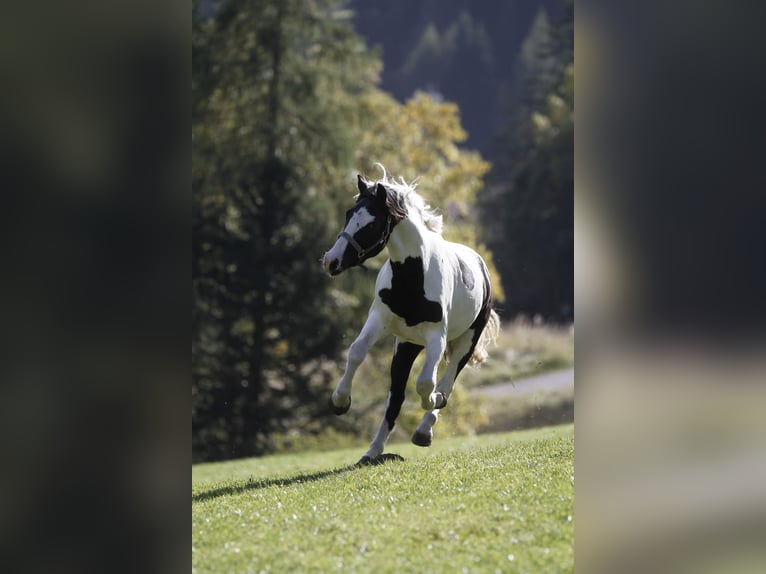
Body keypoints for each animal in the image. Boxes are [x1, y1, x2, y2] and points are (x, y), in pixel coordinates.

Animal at [320, 168, 500, 468]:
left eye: (372, 224)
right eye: (349, 213)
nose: (331, 261)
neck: (413, 275)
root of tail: (479, 262)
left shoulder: (437, 338)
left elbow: (427, 384)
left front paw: (433, 402)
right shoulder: (379, 321)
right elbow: (356, 352)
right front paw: (339, 402)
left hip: (466, 342)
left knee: (447, 381)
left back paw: (425, 429)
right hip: (406, 345)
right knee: (395, 398)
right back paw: (372, 452)